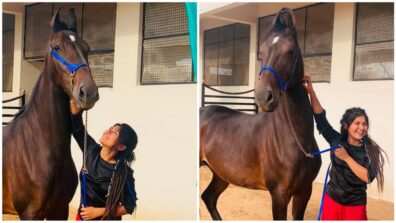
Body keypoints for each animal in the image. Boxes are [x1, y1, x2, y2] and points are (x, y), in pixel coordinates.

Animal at [201, 8, 322, 220]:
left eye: (290, 51)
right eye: (261, 53)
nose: (263, 96)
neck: (295, 138)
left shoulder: (304, 191)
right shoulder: (279, 194)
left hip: (220, 174)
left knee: (209, 198)